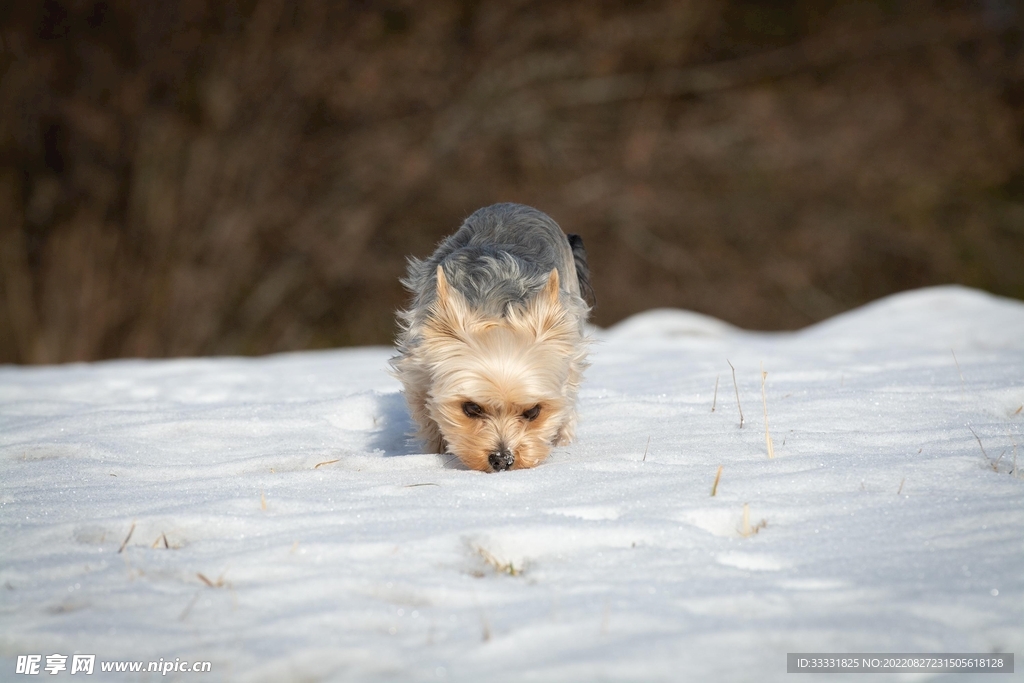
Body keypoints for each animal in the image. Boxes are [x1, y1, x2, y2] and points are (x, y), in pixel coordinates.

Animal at [395, 201, 598, 471]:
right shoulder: (417, 369)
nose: (502, 460)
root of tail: (514, 205)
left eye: (533, 412)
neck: (495, 312)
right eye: (471, 408)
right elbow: (427, 415)